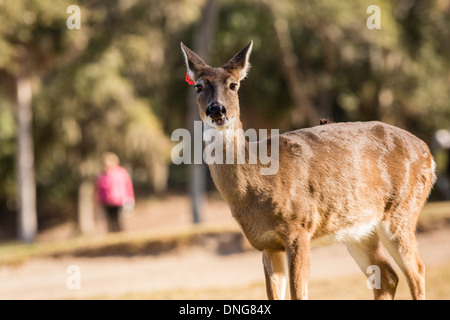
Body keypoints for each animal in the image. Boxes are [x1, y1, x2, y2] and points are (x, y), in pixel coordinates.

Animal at [179, 40, 436, 300]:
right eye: (198, 86)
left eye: (233, 84)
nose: (216, 110)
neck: (258, 180)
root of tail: (428, 153)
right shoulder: (266, 244)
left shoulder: (299, 227)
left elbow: (299, 293)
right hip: (359, 229)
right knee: (387, 276)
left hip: (402, 210)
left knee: (417, 270)